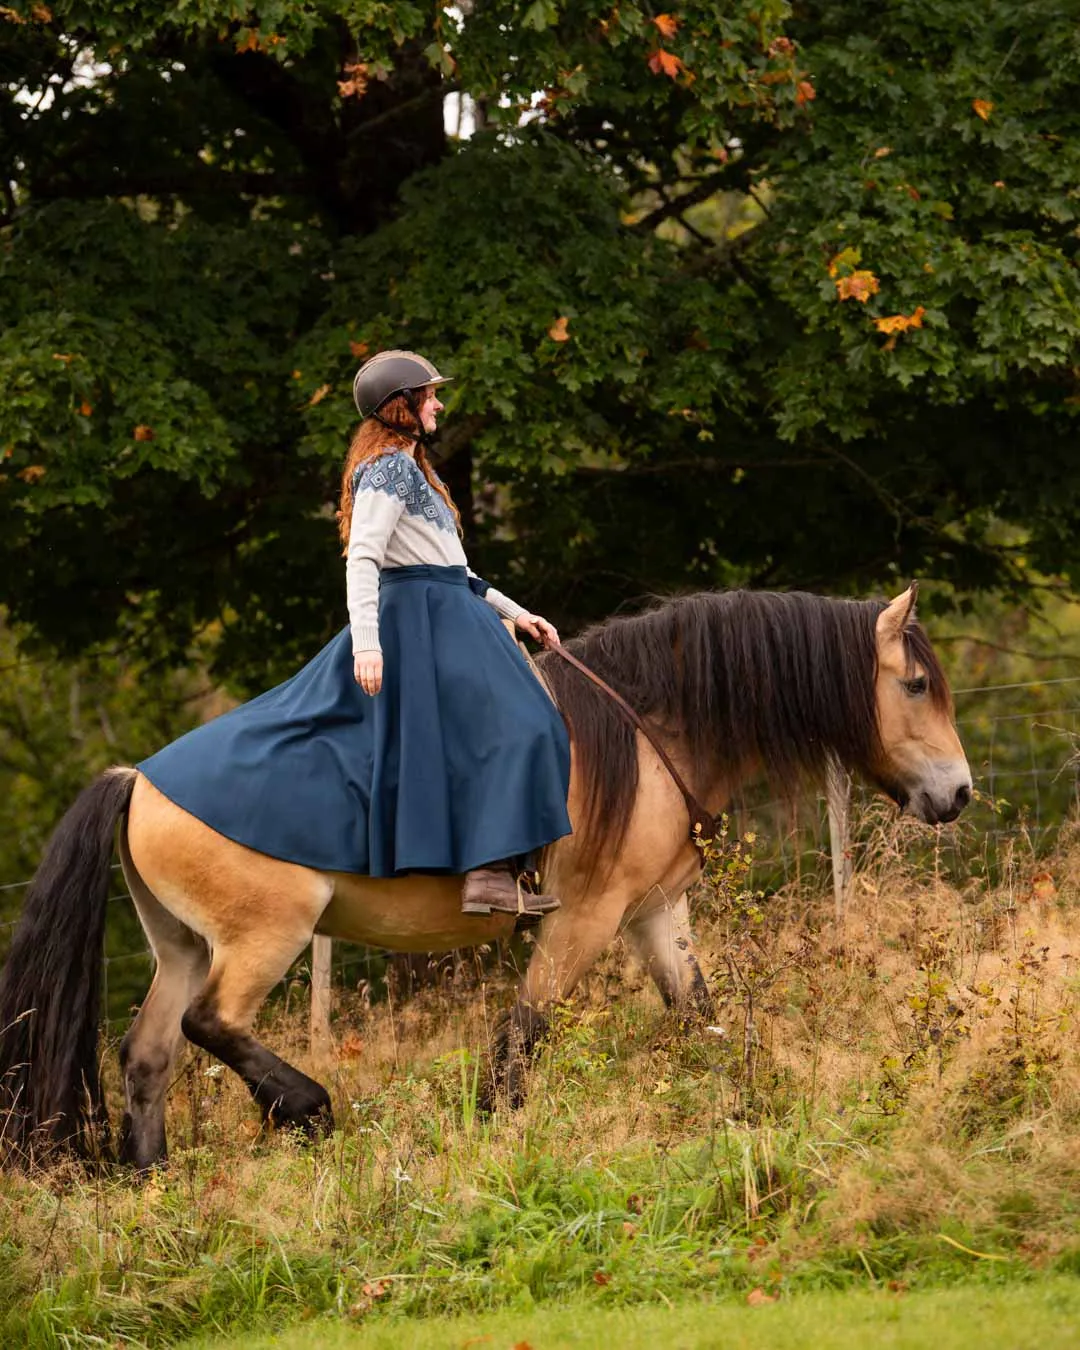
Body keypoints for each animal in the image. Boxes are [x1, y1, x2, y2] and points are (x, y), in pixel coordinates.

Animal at [0, 585, 972, 1166]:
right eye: (917, 684)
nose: (959, 792)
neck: (646, 728)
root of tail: (140, 780)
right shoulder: (585, 918)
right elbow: (521, 1037)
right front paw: (492, 1139)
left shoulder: (656, 914)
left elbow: (703, 1017)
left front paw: (749, 1107)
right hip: (264, 938)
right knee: (212, 1025)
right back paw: (306, 1106)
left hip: (183, 947)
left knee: (149, 1054)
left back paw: (155, 1179)